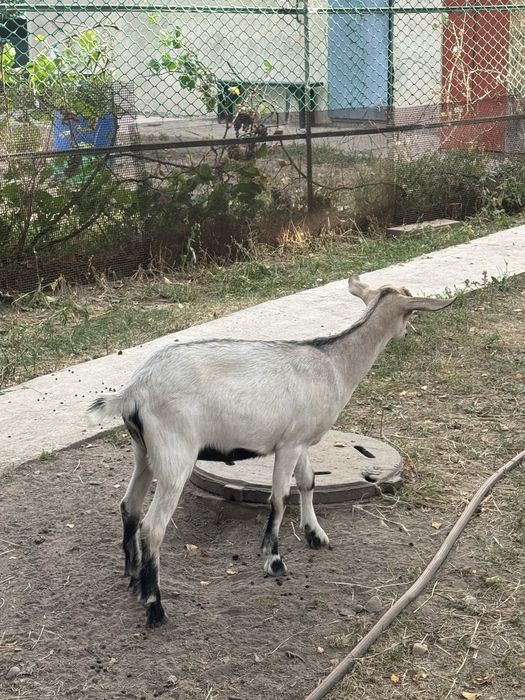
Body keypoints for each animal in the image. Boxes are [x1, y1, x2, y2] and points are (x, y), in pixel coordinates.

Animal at [87, 275, 454, 626]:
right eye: (410, 311)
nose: (409, 332)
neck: (333, 364)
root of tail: (134, 391)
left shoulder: (301, 440)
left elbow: (308, 482)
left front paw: (315, 535)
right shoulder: (288, 445)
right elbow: (279, 498)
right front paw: (274, 560)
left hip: (144, 452)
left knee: (129, 506)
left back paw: (134, 579)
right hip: (175, 456)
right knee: (153, 527)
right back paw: (155, 606)